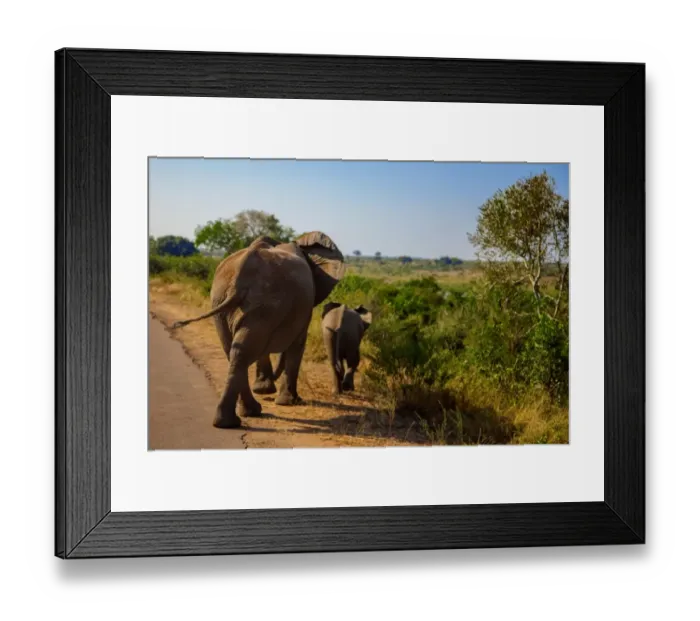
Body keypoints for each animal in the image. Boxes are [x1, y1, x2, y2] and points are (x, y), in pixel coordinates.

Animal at [170, 231, 345, 429]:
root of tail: (240, 276)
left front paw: (266, 391)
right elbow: (297, 344)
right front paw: (290, 401)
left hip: (228, 303)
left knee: (235, 351)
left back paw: (239, 416)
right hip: (261, 302)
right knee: (242, 352)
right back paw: (237, 418)